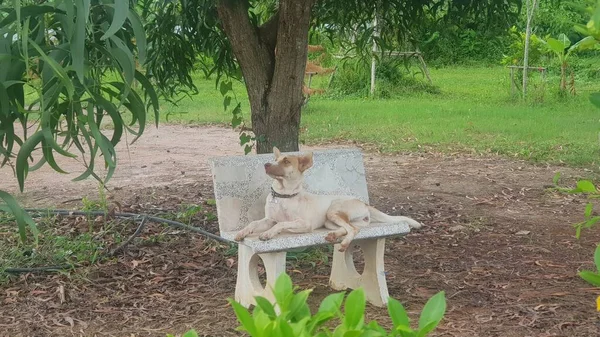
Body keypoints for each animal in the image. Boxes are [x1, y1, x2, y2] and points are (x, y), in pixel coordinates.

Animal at [234, 146, 422, 249]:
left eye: (286, 161)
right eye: (275, 159)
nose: (266, 164)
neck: (283, 196)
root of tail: (363, 202)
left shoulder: (305, 224)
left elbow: (281, 224)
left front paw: (268, 234)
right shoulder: (268, 219)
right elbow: (254, 223)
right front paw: (242, 232)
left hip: (333, 211)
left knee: (352, 229)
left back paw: (344, 244)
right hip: (330, 221)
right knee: (349, 227)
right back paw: (333, 235)